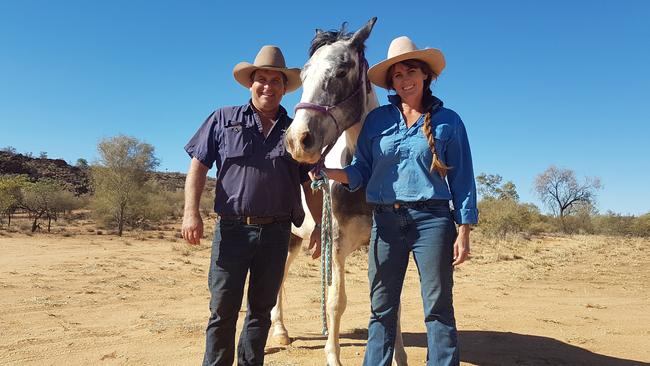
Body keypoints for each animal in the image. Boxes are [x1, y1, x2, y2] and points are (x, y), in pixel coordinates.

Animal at [270, 18, 408, 366]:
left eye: (342, 71)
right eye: (304, 74)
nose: (297, 140)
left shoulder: (385, 246)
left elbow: (394, 303)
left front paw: (399, 355)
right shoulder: (337, 244)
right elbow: (335, 301)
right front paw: (333, 356)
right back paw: (279, 330)